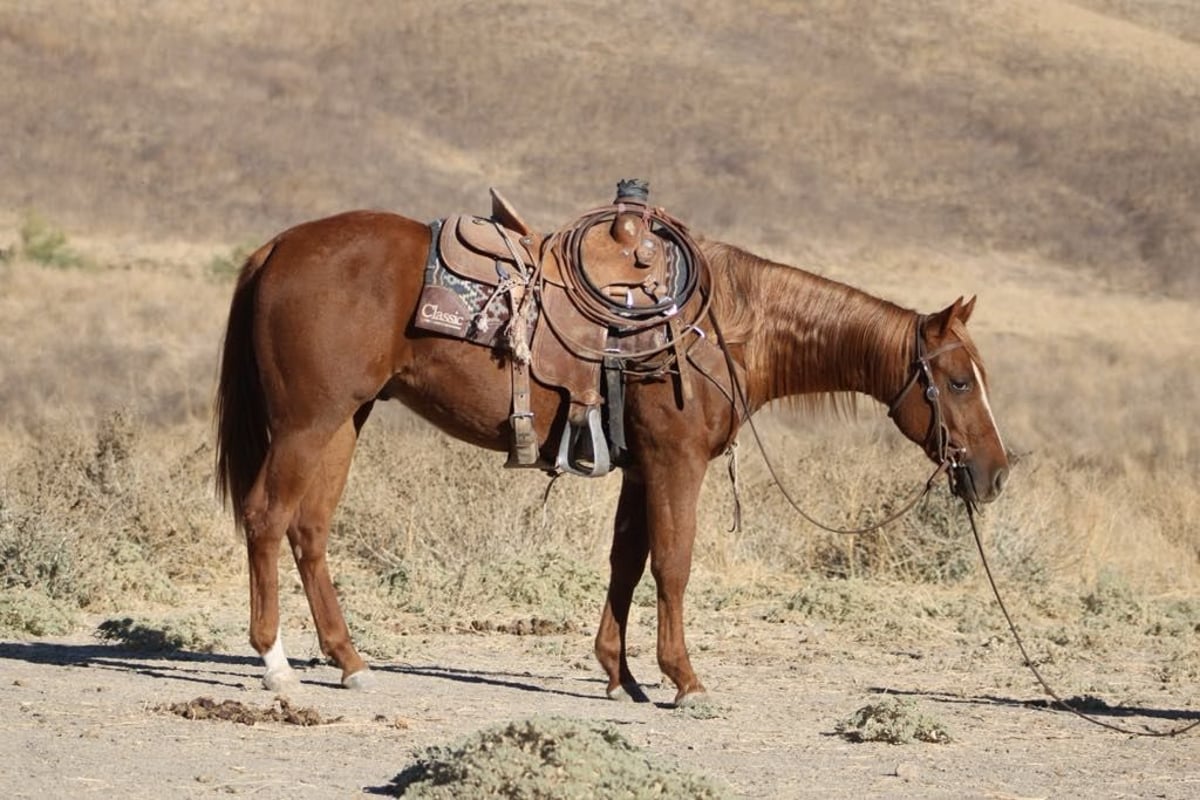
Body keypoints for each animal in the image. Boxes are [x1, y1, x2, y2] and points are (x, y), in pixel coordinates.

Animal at [214, 208, 1009, 707]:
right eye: (958, 381)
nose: (995, 472)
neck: (728, 328)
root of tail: (276, 249)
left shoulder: (640, 466)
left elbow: (626, 562)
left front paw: (618, 674)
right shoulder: (676, 463)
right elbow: (673, 564)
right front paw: (684, 679)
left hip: (345, 421)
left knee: (309, 529)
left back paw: (349, 661)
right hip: (306, 422)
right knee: (265, 517)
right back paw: (275, 664)